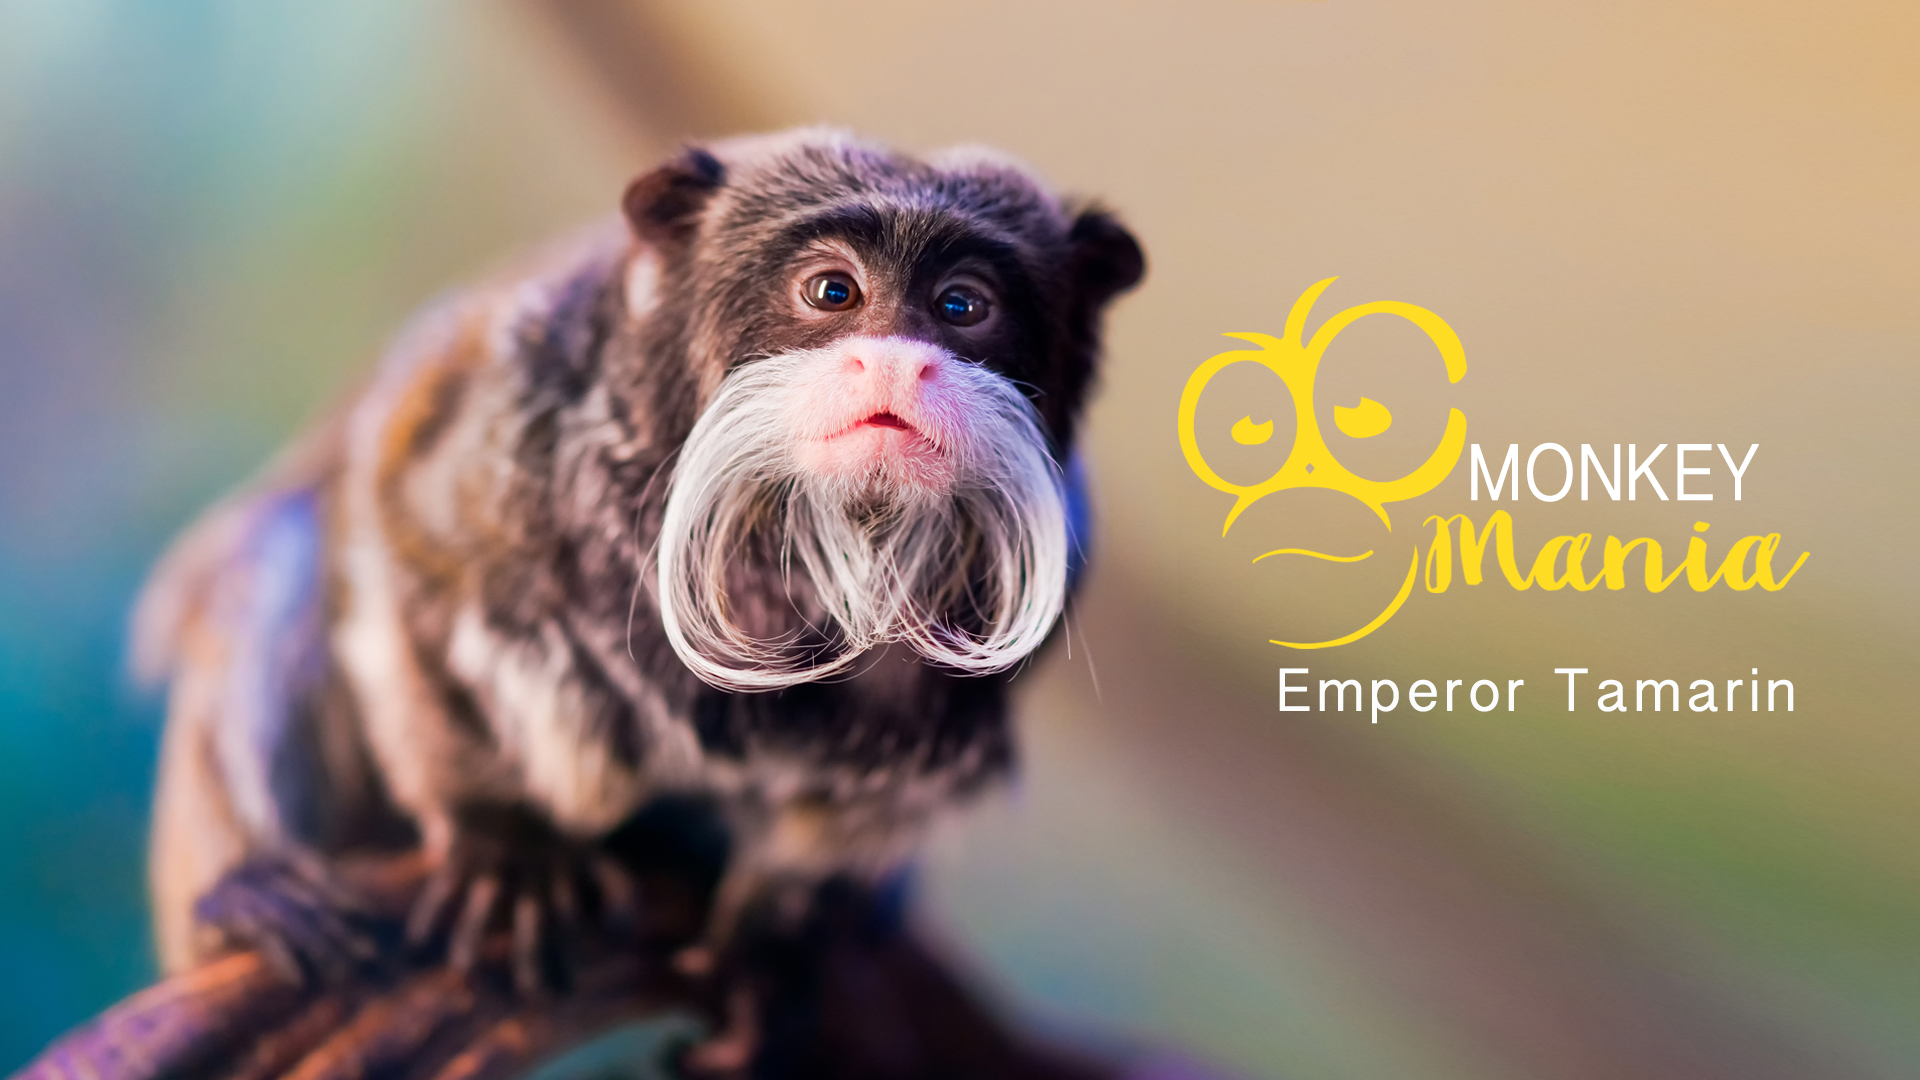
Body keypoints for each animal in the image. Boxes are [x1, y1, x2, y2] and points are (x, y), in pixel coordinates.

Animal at [132, 128, 1143, 1016]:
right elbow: (415, 554)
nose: (896, 363)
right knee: (275, 560)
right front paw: (503, 833)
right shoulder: (506, 422)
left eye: (963, 306)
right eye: (832, 290)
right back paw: (247, 890)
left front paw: (772, 930)